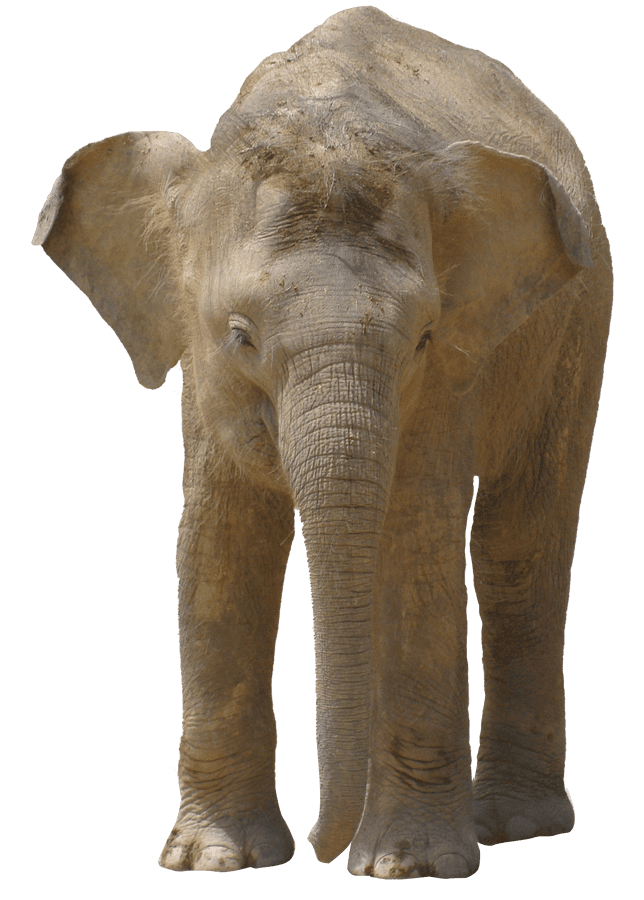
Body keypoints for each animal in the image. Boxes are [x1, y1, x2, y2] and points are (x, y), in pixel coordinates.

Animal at [32, 5, 612, 881]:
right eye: (239, 334)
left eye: (423, 338)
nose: (317, 844)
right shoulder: (203, 376)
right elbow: (217, 544)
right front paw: (213, 861)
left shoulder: (451, 374)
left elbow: (415, 538)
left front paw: (405, 866)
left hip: (582, 312)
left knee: (519, 544)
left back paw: (513, 824)